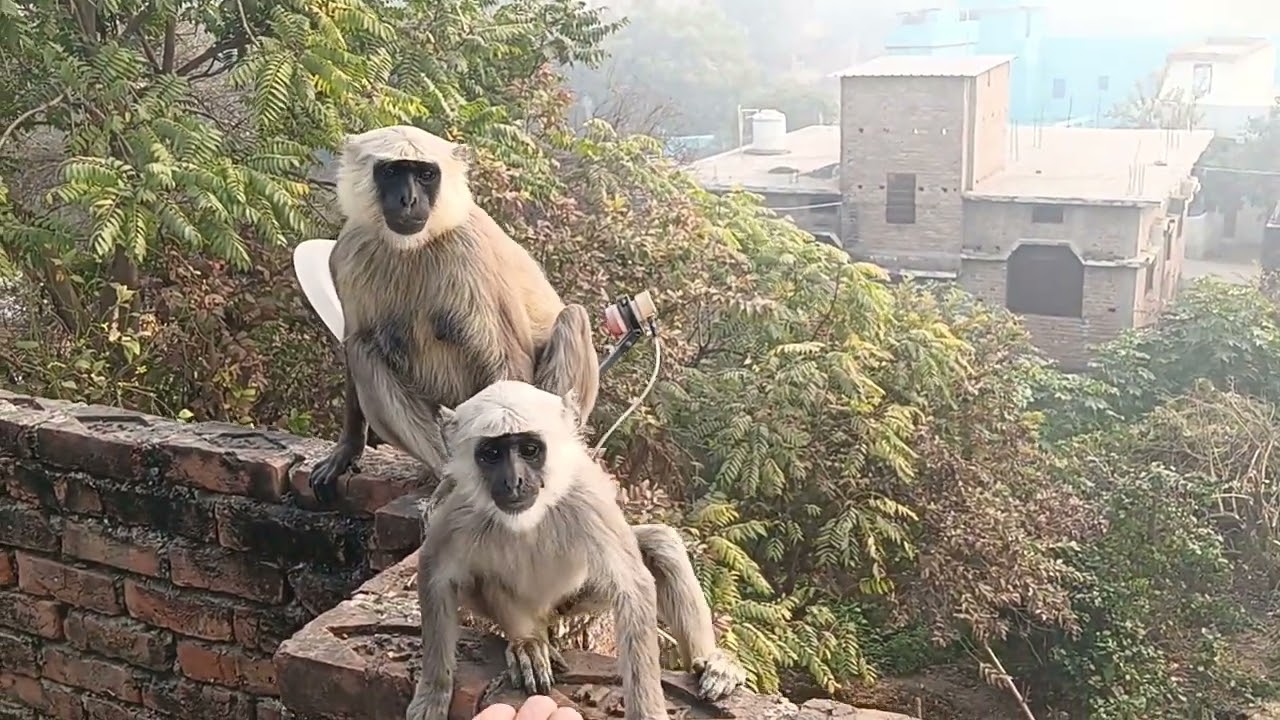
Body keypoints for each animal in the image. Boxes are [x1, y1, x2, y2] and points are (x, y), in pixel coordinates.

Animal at [308, 125, 600, 505]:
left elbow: (507, 363)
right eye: (392, 171)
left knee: (572, 318)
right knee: (363, 349)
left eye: (425, 175)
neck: (414, 246)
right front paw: (347, 449)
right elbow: (353, 338)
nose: (408, 199)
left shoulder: (470, 248)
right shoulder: (347, 251)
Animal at [405, 381, 746, 720]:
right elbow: (434, 572)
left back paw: (712, 664)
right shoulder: (460, 509)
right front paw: (432, 694)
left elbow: (633, 588)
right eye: (491, 454)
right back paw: (527, 643)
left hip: (577, 597)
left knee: (661, 545)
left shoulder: (586, 497)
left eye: (529, 450)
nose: (514, 482)